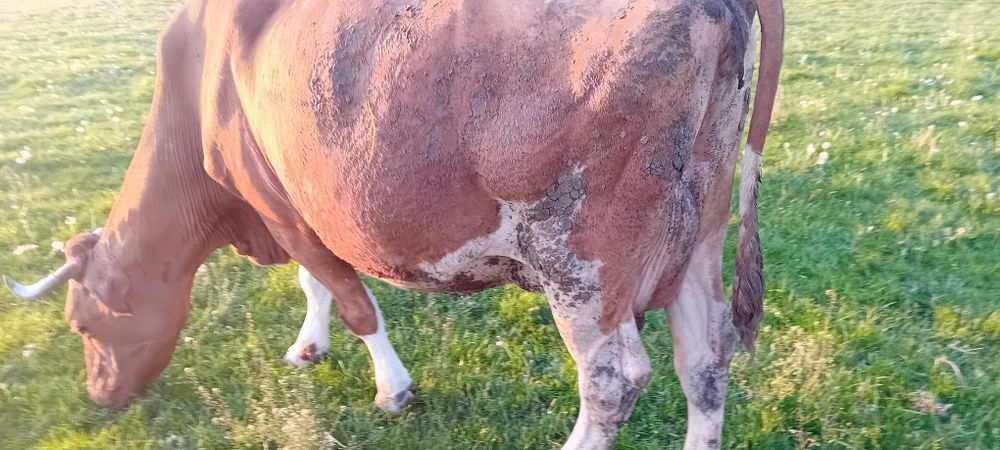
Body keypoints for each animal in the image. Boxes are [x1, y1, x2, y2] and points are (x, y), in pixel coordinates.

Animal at [4, 0, 783, 447]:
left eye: (82, 325)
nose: (99, 398)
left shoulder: (276, 202)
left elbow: (352, 301)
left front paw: (391, 388)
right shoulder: (296, 209)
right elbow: (315, 285)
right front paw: (307, 347)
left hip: (580, 255)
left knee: (614, 378)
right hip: (699, 229)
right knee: (704, 359)